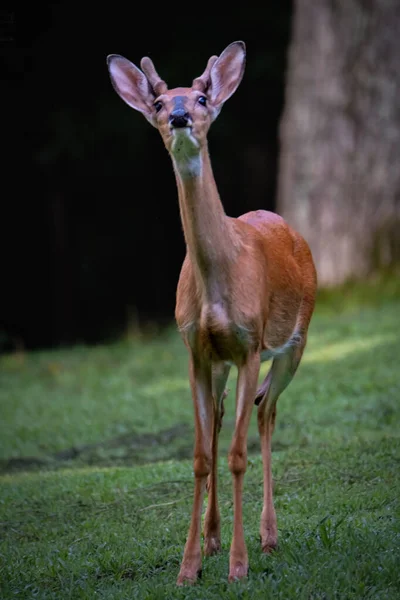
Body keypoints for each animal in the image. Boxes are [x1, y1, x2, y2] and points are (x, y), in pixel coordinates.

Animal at [106, 39, 316, 584]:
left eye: (202, 98)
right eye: (159, 103)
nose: (180, 116)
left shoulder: (249, 345)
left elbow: (240, 455)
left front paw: (239, 566)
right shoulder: (196, 351)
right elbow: (202, 456)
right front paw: (189, 566)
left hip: (294, 344)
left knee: (266, 414)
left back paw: (267, 536)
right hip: (223, 364)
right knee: (224, 422)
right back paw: (215, 535)